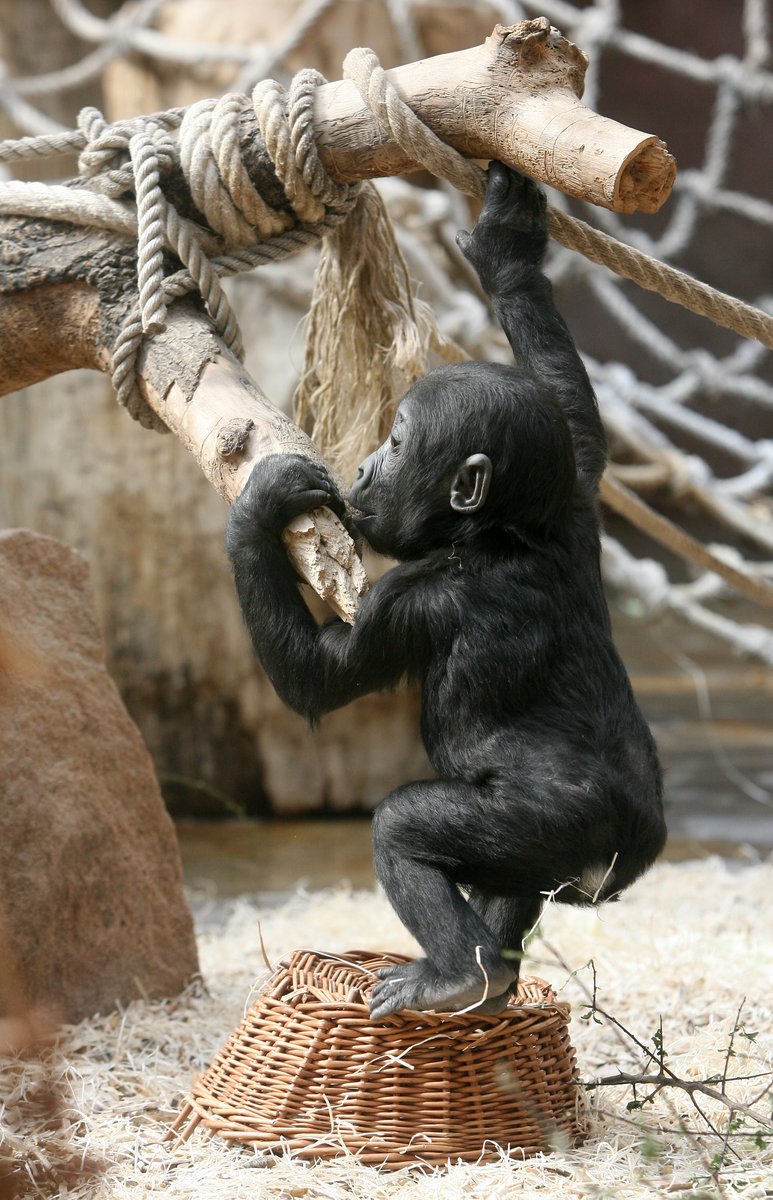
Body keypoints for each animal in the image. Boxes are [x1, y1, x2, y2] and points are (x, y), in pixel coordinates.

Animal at [224, 162, 662, 1022]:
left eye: (397, 442)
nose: (365, 465)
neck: (497, 534)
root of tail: (621, 855)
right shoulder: (576, 502)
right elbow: (573, 414)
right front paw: (506, 244)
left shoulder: (411, 597)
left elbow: (322, 679)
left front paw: (259, 506)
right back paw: (492, 985)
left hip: (546, 828)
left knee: (406, 824)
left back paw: (462, 974)